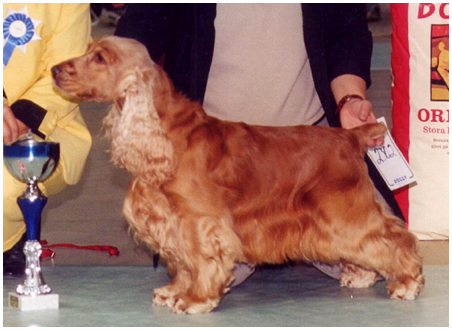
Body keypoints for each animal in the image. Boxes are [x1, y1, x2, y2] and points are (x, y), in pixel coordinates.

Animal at [53, 36, 424, 314]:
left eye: (100, 58)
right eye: (88, 49)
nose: (55, 69)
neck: (165, 131)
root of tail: (350, 136)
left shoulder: (199, 220)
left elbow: (200, 259)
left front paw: (195, 299)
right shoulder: (172, 220)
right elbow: (182, 261)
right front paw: (173, 292)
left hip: (344, 210)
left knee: (392, 237)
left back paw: (407, 282)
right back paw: (363, 276)